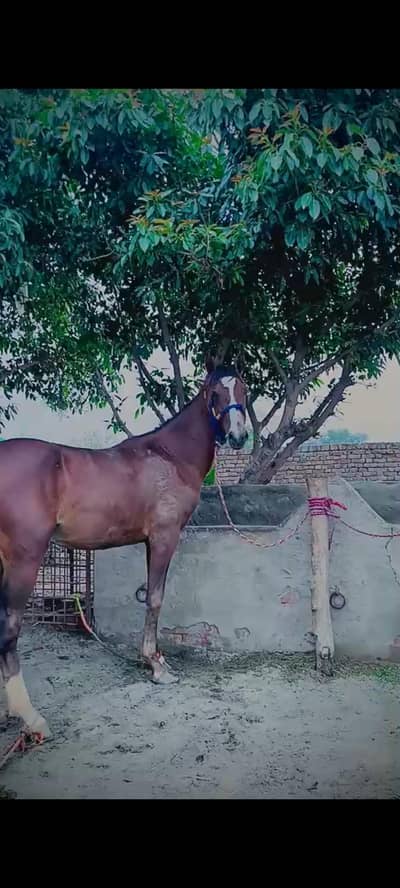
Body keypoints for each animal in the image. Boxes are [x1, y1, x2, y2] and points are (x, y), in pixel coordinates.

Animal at [0, 361, 248, 740]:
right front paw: (157, 667)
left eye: (244, 391)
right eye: (215, 393)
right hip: (25, 560)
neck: (169, 456)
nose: (238, 436)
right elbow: (156, 598)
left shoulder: (149, 542)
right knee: (10, 629)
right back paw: (31, 717)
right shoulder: (163, 538)